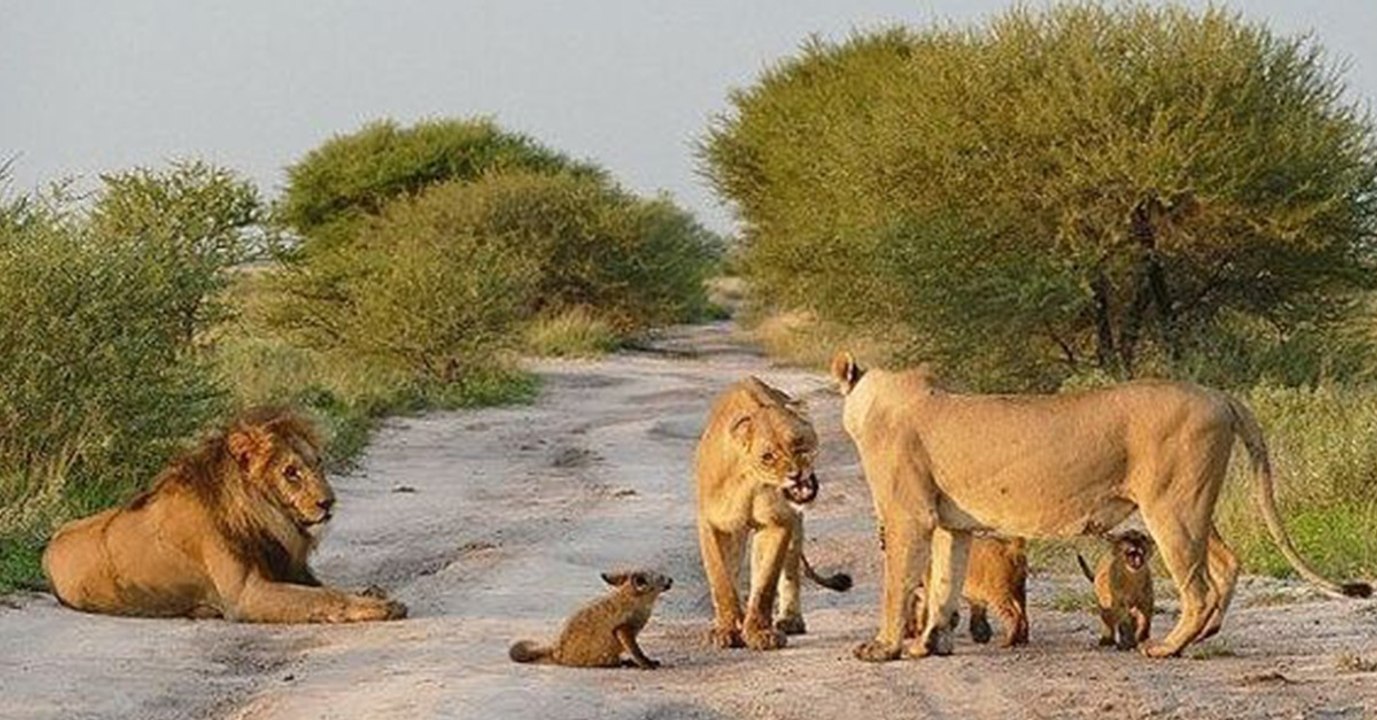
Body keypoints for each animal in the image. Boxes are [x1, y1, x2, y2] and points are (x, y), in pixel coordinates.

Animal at [42, 406, 407, 623]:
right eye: (291, 472)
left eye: (318, 464)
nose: (328, 502)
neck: (267, 518)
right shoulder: (245, 595)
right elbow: (325, 596)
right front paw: (380, 606)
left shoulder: (287, 569)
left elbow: (328, 588)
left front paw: (373, 593)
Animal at [696, 377, 852, 651]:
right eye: (768, 456)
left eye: (798, 445)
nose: (795, 475)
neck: (749, 480)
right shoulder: (712, 523)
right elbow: (720, 579)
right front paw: (726, 630)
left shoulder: (778, 522)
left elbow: (766, 582)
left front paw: (760, 633)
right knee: (733, 569)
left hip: (795, 526)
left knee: (790, 569)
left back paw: (790, 620)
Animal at [831, 352, 1370, 661]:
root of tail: (1219, 395)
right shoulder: (950, 524)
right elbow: (944, 582)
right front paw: (929, 645)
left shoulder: (909, 517)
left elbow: (898, 584)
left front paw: (883, 648)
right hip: (1192, 505)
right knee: (1226, 564)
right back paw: (1205, 634)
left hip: (1171, 507)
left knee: (1197, 588)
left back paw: (1167, 647)